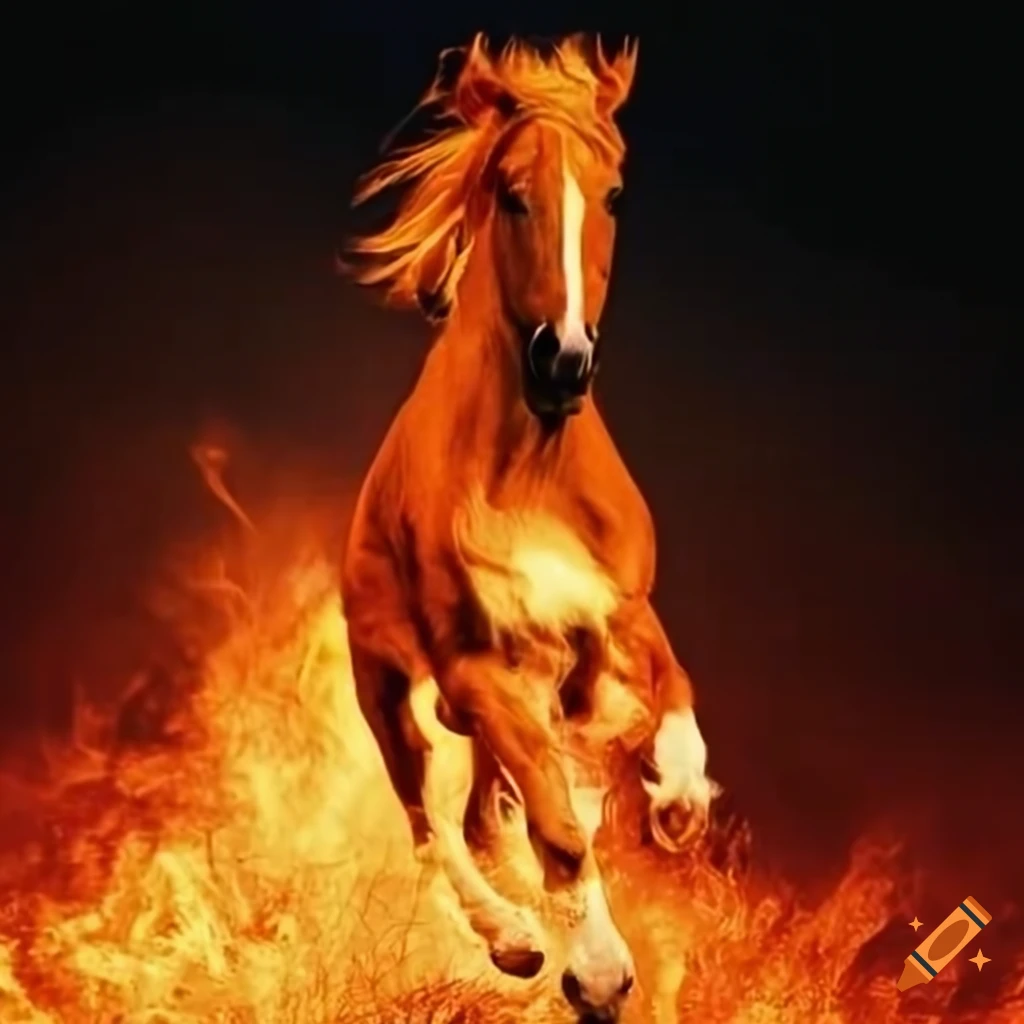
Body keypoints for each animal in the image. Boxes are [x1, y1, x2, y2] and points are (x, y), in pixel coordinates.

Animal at [340, 33, 718, 1020]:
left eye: (614, 193)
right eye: (512, 192)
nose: (564, 360)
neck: (531, 467)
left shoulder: (616, 610)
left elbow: (670, 688)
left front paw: (678, 802)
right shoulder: (479, 672)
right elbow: (555, 820)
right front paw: (598, 972)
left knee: (475, 813)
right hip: (384, 684)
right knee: (427, 818)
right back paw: (510, 937)